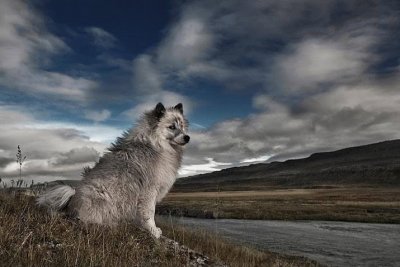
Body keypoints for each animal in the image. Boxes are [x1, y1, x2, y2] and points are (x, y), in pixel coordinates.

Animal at [36, 103, 190, 239]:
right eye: (172, 127)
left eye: (182, 127)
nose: (187, 137)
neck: (155, 144)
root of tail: (70, 203)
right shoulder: (149, 191)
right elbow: (149, 214)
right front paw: (153, 231)